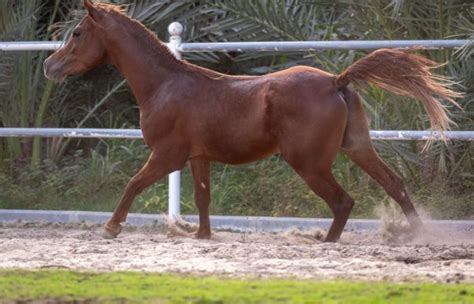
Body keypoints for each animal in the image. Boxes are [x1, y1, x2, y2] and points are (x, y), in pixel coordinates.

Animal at [44, 0, 460, 242]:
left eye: (77, 32)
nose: (50, 66)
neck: (164, 84)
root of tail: (335, 80)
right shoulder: (198, 157)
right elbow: (203, 196)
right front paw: (202, 235)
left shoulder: (167, 156)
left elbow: (132, 184)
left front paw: (111, 227)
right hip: (357, 147)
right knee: (395, 184)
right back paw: (421, 236)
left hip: (309, 163)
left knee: (343, 201)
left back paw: (325, 241)